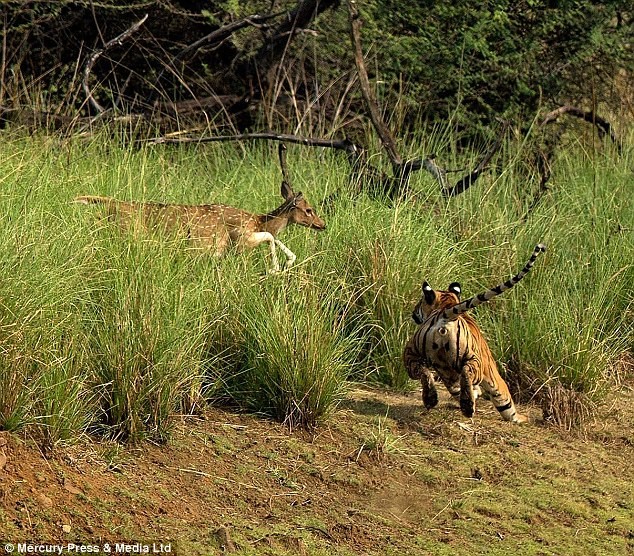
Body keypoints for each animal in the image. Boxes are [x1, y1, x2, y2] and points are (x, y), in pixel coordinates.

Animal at [75, 146, 326, 272]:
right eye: (309, 209)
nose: (322, 224)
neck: (258, 219)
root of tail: (109, 205)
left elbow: (278, 240)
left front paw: (287, 262)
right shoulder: (240, 239)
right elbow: (270, 237)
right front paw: (276, 268)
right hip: (129, 235)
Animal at [402, 243, 544, 422]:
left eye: (420, 303)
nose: (413, 312)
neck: (446, 303)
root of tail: (446, 313)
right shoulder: (492, 374)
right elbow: (506, 404)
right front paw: (520, 418)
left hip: (420, 355)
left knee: (426, 371)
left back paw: (433, 399)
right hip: (443, 357)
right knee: (464, 373)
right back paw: (467, 406)